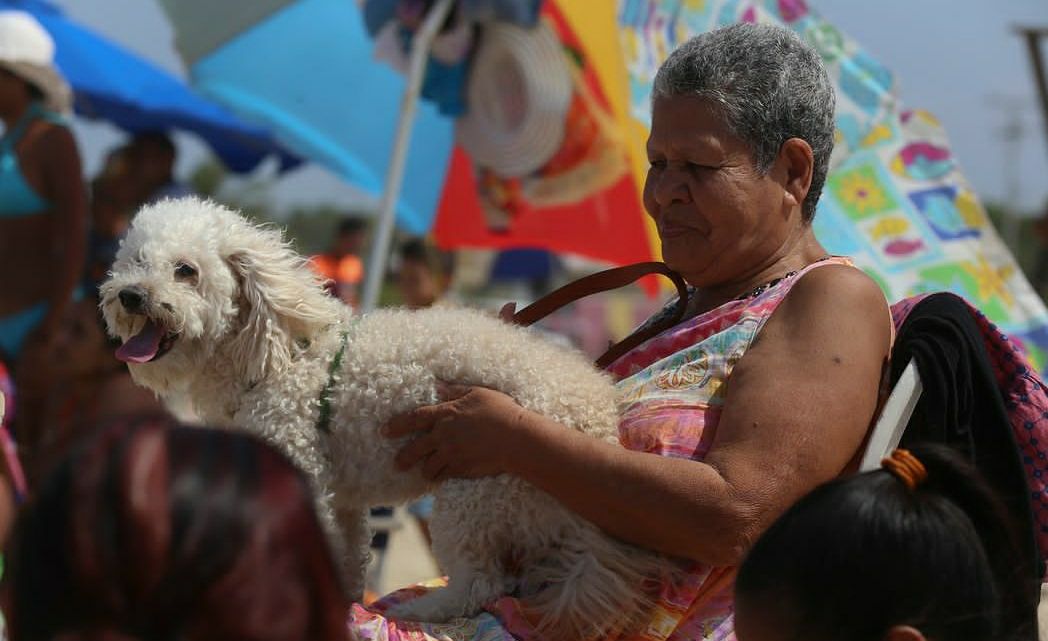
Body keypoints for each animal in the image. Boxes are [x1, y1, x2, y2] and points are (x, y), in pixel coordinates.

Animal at [100, 197, 670, 636]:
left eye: (185, 271)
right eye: (136, 261)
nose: (129, 295)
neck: (272, 354)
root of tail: (599, 426)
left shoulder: (300, 468)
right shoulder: (343, 499)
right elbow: (347, 551)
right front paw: (345, 597)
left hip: (477, 487)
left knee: (478, 585)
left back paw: (423, 610)